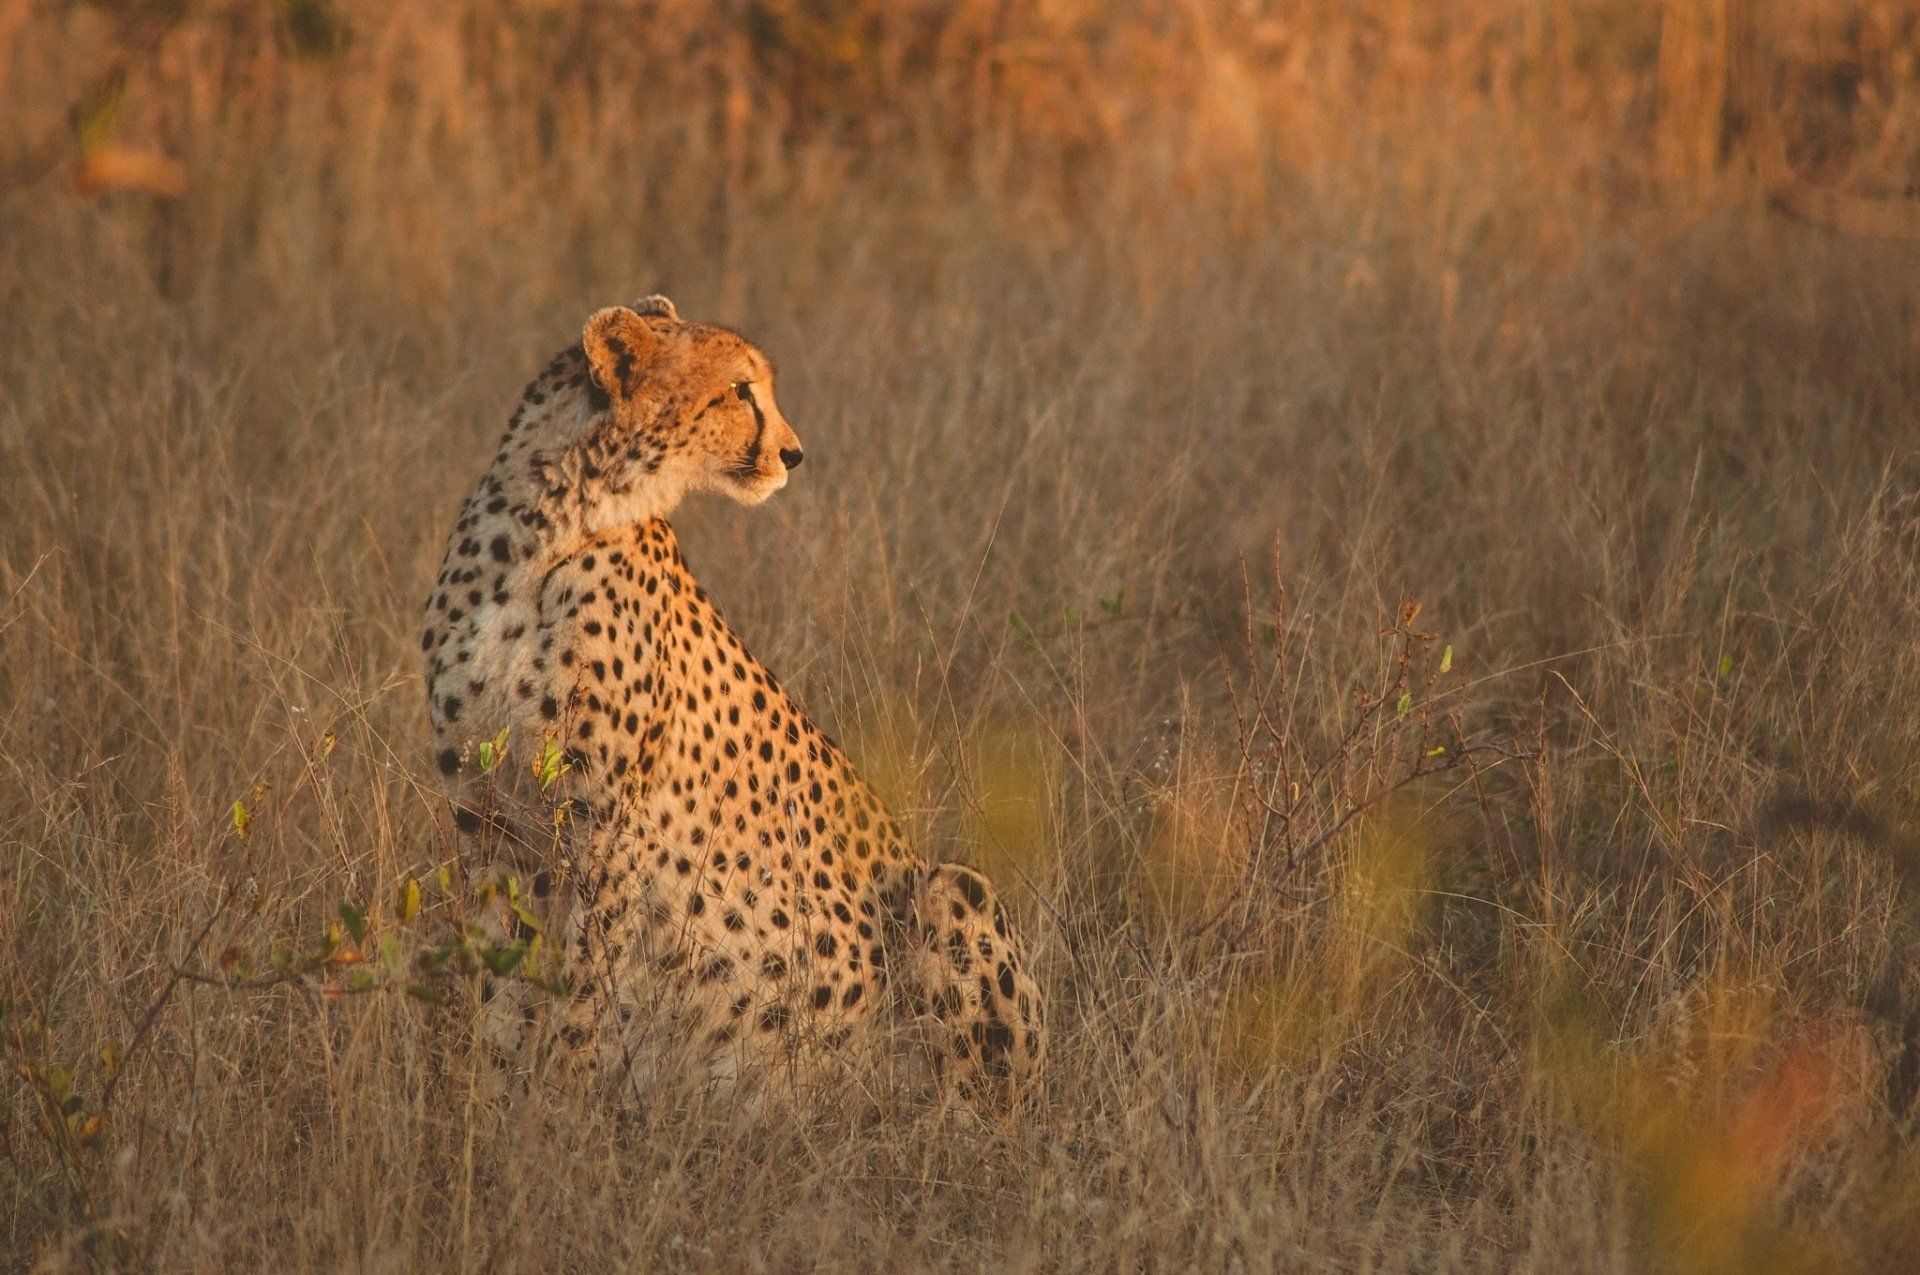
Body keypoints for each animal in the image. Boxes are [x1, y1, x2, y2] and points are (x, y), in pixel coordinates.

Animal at [419, 295, 1044, 1096]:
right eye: (739, 390)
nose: (796, 453)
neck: (549, 523)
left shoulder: (603, 829)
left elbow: (582, 984)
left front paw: (559, 1105)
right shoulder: (483, 815)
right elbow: (497, 977)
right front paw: (487, 1094)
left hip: (953, 891)